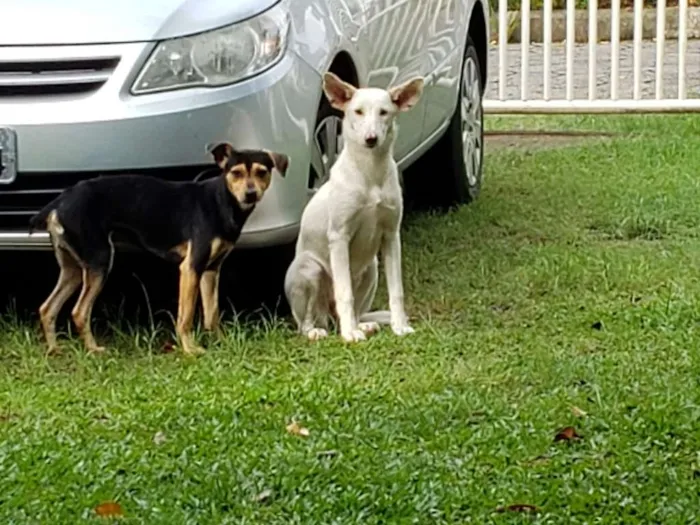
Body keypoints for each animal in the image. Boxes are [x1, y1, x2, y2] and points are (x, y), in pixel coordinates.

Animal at [28, 143, 288, 356]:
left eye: (262, 172)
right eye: (236, 173)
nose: (250, 193)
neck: (222, 200)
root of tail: (59, 202)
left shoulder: (211, 270)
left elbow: (212, 313)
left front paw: (222, 342)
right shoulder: (190, 268)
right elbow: (186, 315)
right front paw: (190, 349)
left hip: (73, 268)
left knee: (47, 308)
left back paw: (54, 350)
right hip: (99, 261)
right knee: (79, 312)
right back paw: (93, 349)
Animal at [284, 71, 424, 342]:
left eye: (384, 112)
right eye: (357, 111)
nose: (371, 139)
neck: (370, 174)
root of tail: (327, 316)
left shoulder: (391, 236)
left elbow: (397, 291)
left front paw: (400, 326)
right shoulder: (339, 237)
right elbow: (344, 293)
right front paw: (350, 335)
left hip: (372, 270)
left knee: (355, 312)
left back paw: (363, 325)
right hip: (310, 270)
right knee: (307, 322)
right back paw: (320, 330)